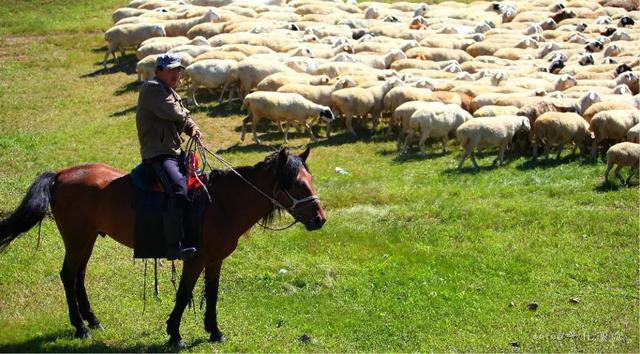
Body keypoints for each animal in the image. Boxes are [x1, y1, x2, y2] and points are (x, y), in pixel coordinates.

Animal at [0, 148, 324, 348]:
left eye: (310, 180)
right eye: (297, 183)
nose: (320, 219)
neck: (220, 204)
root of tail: (60, 175)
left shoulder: (215, 260)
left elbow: (212, 294)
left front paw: (214, 331)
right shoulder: (195, 259)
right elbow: (184, 294)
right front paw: (175, 333)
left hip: (87, 239)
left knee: (79, 276)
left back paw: (93, 320)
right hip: (77, 238)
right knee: (68, 276)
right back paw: (80, 326)